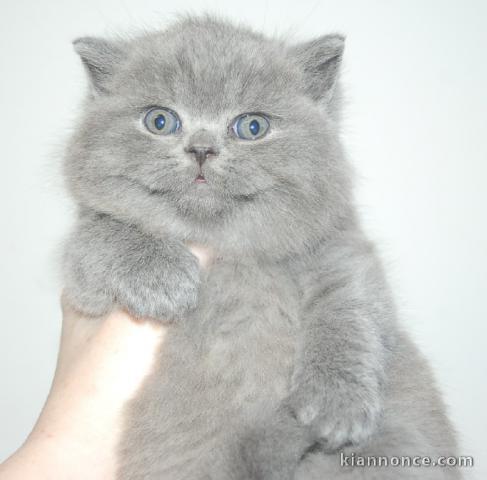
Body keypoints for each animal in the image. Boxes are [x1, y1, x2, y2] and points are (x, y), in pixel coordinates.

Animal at [62, 15, 462, 480]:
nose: (202, 149)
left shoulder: (343, 247)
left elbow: (349, 308)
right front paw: (163, 278)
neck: (225, 250)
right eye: (160, 121)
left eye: (252, 127)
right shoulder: (83, 285)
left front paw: (336, 403)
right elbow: (100, 232)